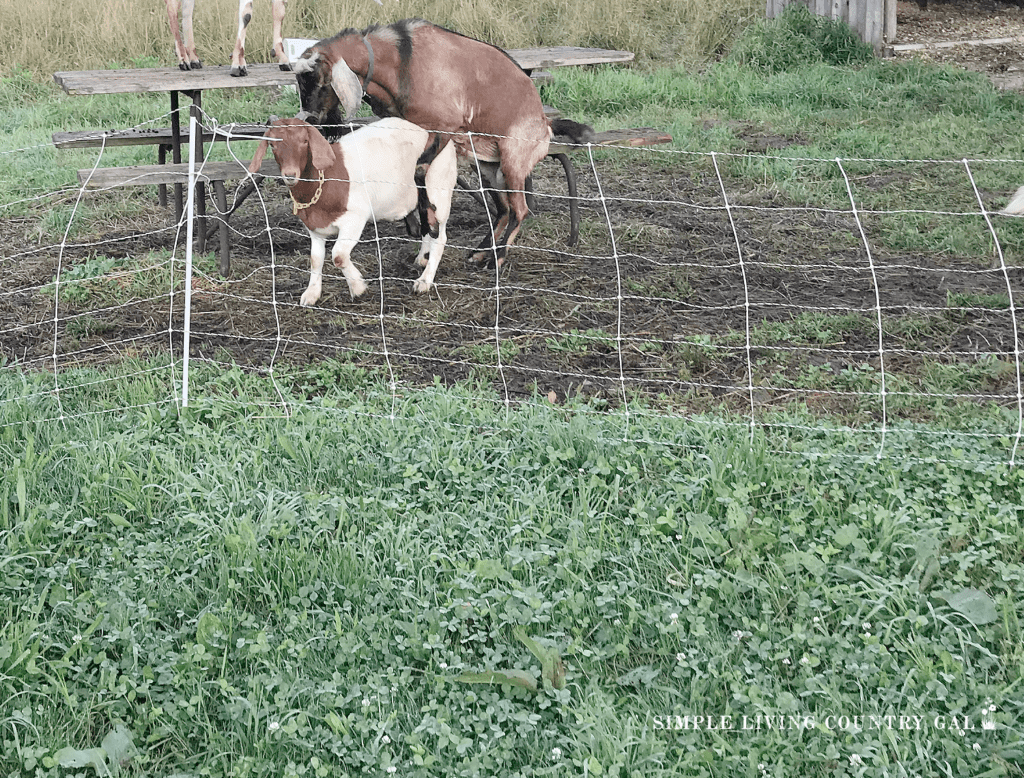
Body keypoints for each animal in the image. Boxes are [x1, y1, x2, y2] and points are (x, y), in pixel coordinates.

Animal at [247, 117, 456, 305]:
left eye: (305, 141)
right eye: (273, 145)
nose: (290, 175)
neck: (325, 180)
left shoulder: (354, 220)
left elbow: (338, 255)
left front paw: (358, 287)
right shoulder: (315, 227)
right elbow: (316, 259)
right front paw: (312, 294)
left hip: (440, 191)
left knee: (440, 237)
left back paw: (424, 281)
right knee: (428, 227)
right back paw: (422, 259)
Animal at [288, 18, 593, 268]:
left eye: (320, 80)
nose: (311, 119)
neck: (400, 62)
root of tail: (545, 125)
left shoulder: (443, 128)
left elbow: (420, 174)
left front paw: (429, 233)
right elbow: (416, 179)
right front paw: (422, 241)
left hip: (513, 160)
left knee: (520, 209)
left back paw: (498, 258)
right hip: (486, 165)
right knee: (504, 208)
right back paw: (480, 252)